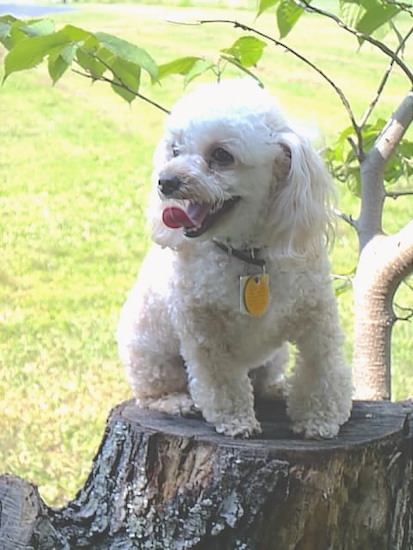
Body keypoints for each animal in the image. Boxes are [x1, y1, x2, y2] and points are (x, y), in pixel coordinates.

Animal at [117, 78, 352, 440]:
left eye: (221, 155)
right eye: (175, 150)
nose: (165, 181)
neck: (248, 255)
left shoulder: (316, 316)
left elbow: (320, 366)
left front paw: (320, 419)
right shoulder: (204, 330)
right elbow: (222, 380)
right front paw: (236, 421)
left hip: (274, 355)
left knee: (264, 378)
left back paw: (276, 389)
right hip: (149, 355)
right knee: (153, 390)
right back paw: (175, 401)